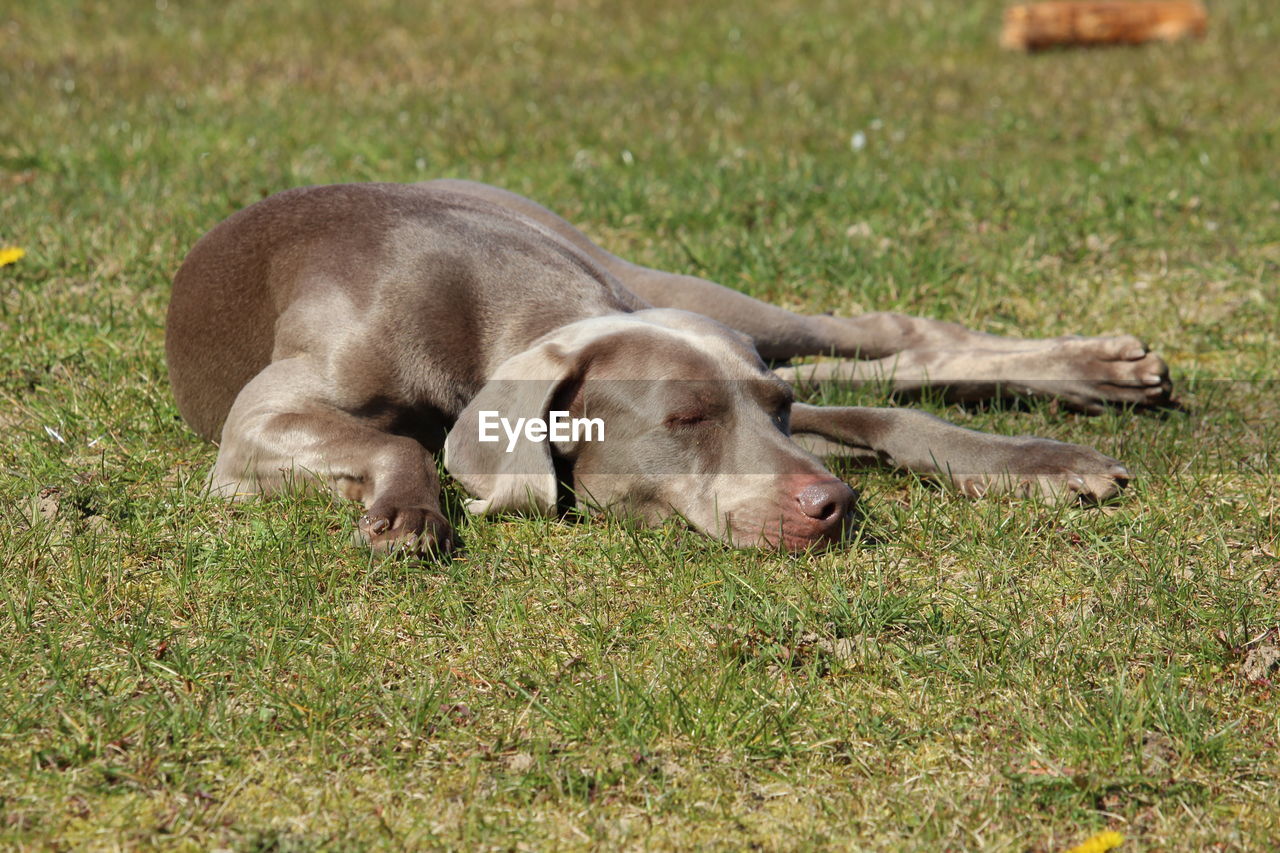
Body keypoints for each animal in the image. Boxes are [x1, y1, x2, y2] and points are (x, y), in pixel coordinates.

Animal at [167, 179, 1172, 550]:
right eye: (684, 419)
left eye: (773, 407)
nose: (834, 504)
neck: (481, 306)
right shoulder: (255, 425)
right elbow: (395, 443)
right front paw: (408, 514)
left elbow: (890, 415)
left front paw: (1038, 462)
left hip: (668, 281)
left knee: (885, 336)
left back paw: (1105, 371)